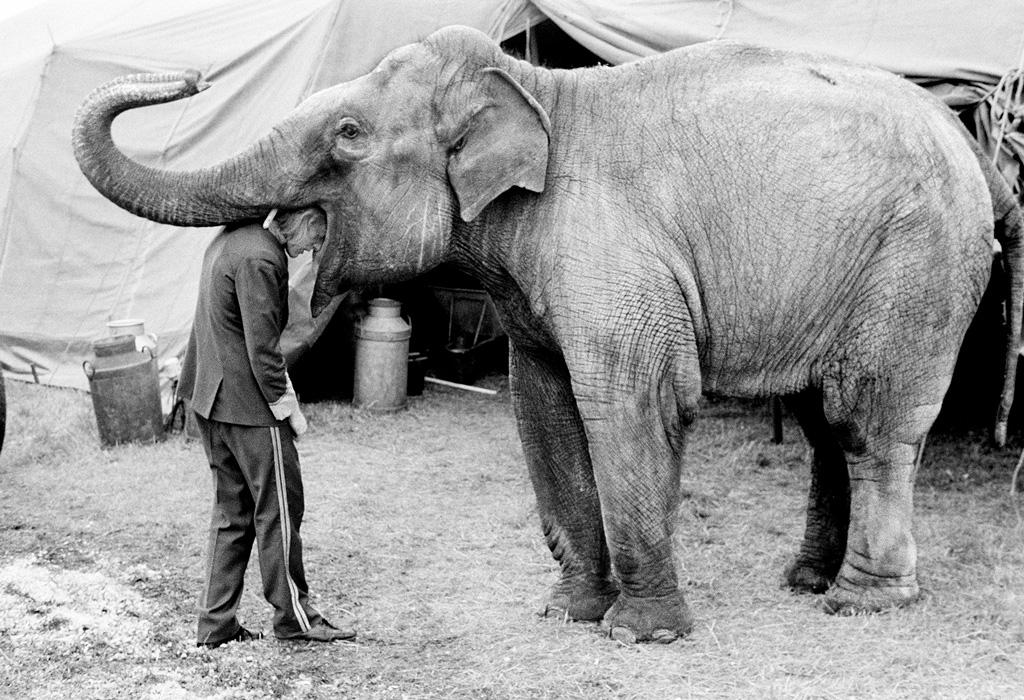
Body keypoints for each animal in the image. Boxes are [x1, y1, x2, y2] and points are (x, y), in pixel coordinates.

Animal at [74, 27, 1024, 642]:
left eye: (347, 135)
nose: (191, 75)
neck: (540, 90)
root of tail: (979, 159)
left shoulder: (613, 256)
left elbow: (631, 400)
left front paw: (641, 635)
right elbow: (541, 405)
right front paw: (571, 615)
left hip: (917, 266)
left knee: (868, 422)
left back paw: (861, 603)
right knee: (826, 422)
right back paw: (806, 582)